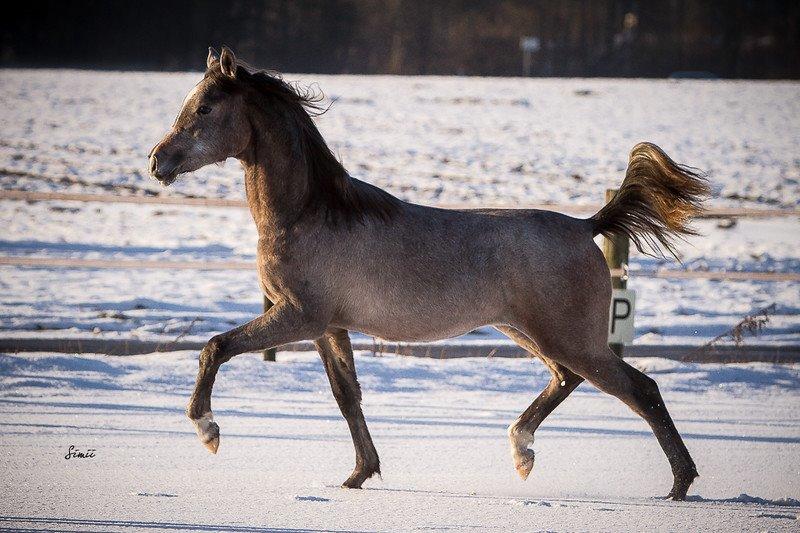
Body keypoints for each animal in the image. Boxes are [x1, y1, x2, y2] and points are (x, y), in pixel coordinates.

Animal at [148, 45, 708, 498]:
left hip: (569, 338)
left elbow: (215, 347)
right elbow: (347, 396)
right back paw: (522, 451)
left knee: (640, 389)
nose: (157, 162)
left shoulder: (299, 317)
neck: (310, 213)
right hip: (528, 332)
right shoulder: (329, 327)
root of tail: (584, 224)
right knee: (568, 378)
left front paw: (207, 429)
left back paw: (679, 484)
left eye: (204, 107)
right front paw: (359, 475)